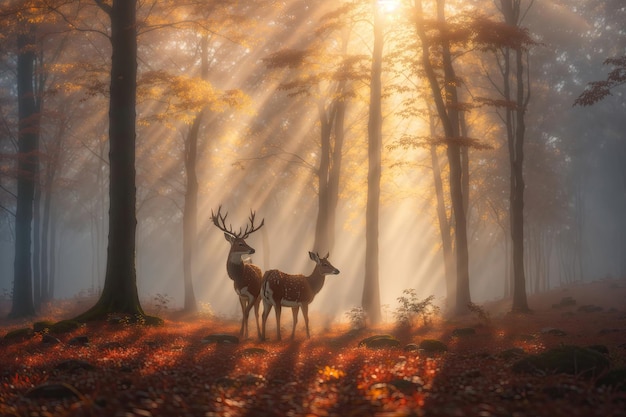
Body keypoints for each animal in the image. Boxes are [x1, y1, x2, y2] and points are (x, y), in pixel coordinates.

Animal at [212, 205, 264, 338]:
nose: (253, 249)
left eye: (245, 242)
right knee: (248, 312)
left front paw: (247, 335)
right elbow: (243, 313)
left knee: (256, 313)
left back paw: (260, 334)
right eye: (240, 243)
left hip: (259, 296)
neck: (240, 278)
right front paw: (242, 334)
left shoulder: (253, 294)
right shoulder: (240, 295)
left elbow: (248, 313)